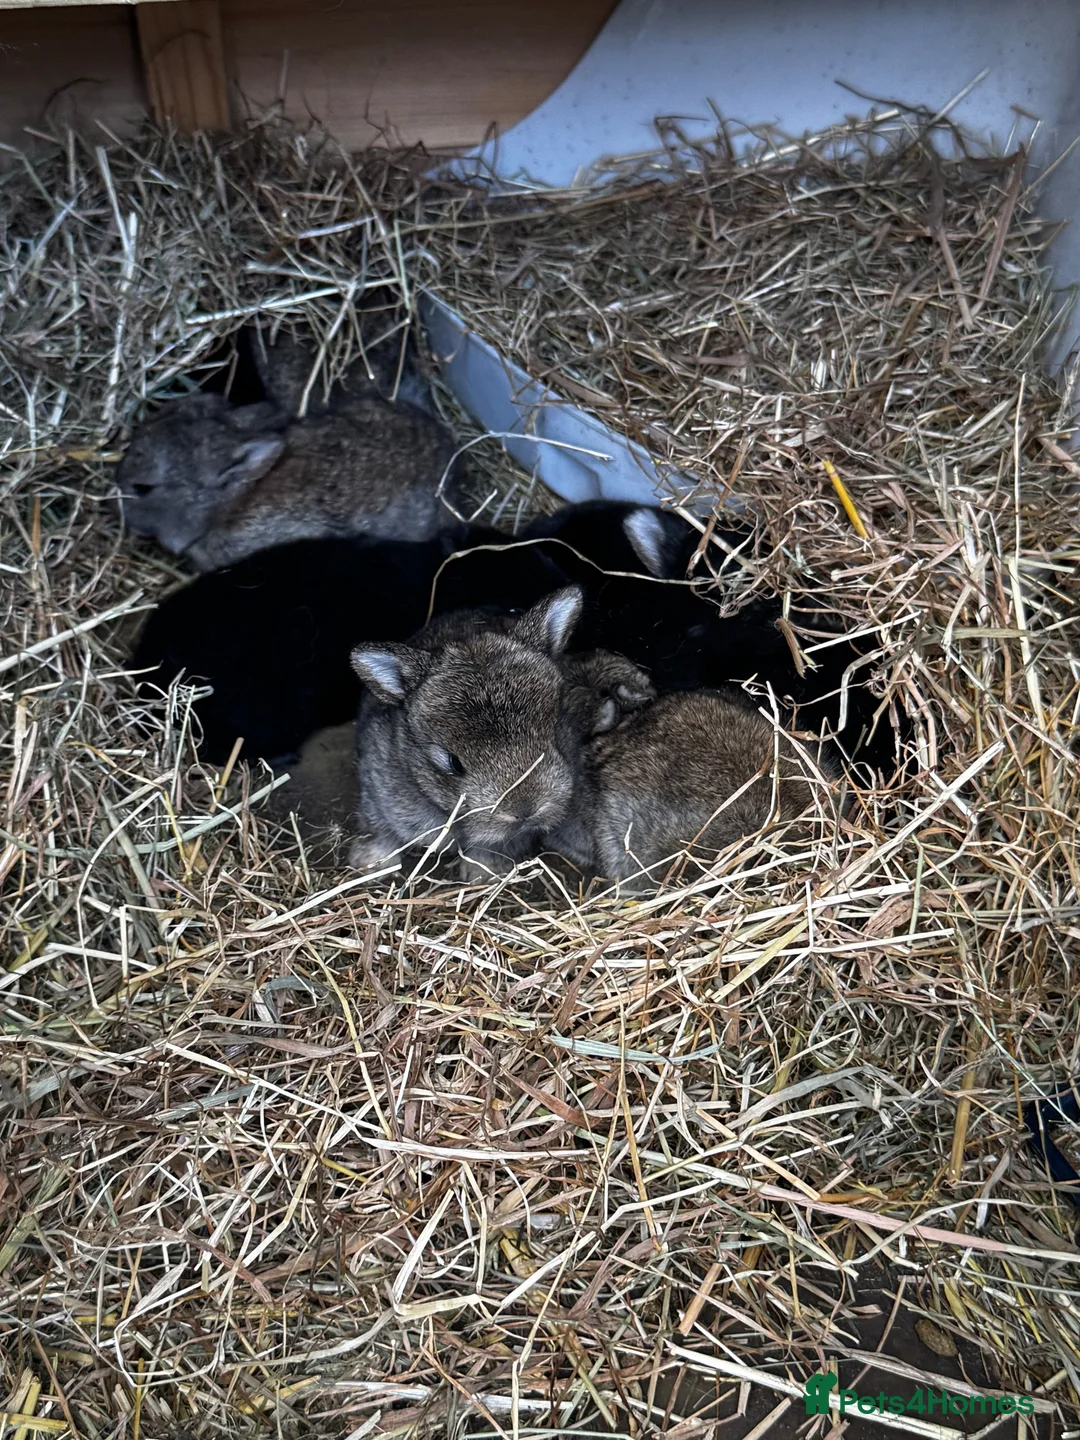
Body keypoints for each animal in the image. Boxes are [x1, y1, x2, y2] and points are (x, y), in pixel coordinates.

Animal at [349, 587, 602, 878]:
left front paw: (484, 871)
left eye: (555, 734)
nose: (525, 810)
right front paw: (370, 862)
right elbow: (379, 829)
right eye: (453, 764)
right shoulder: (377, 790)